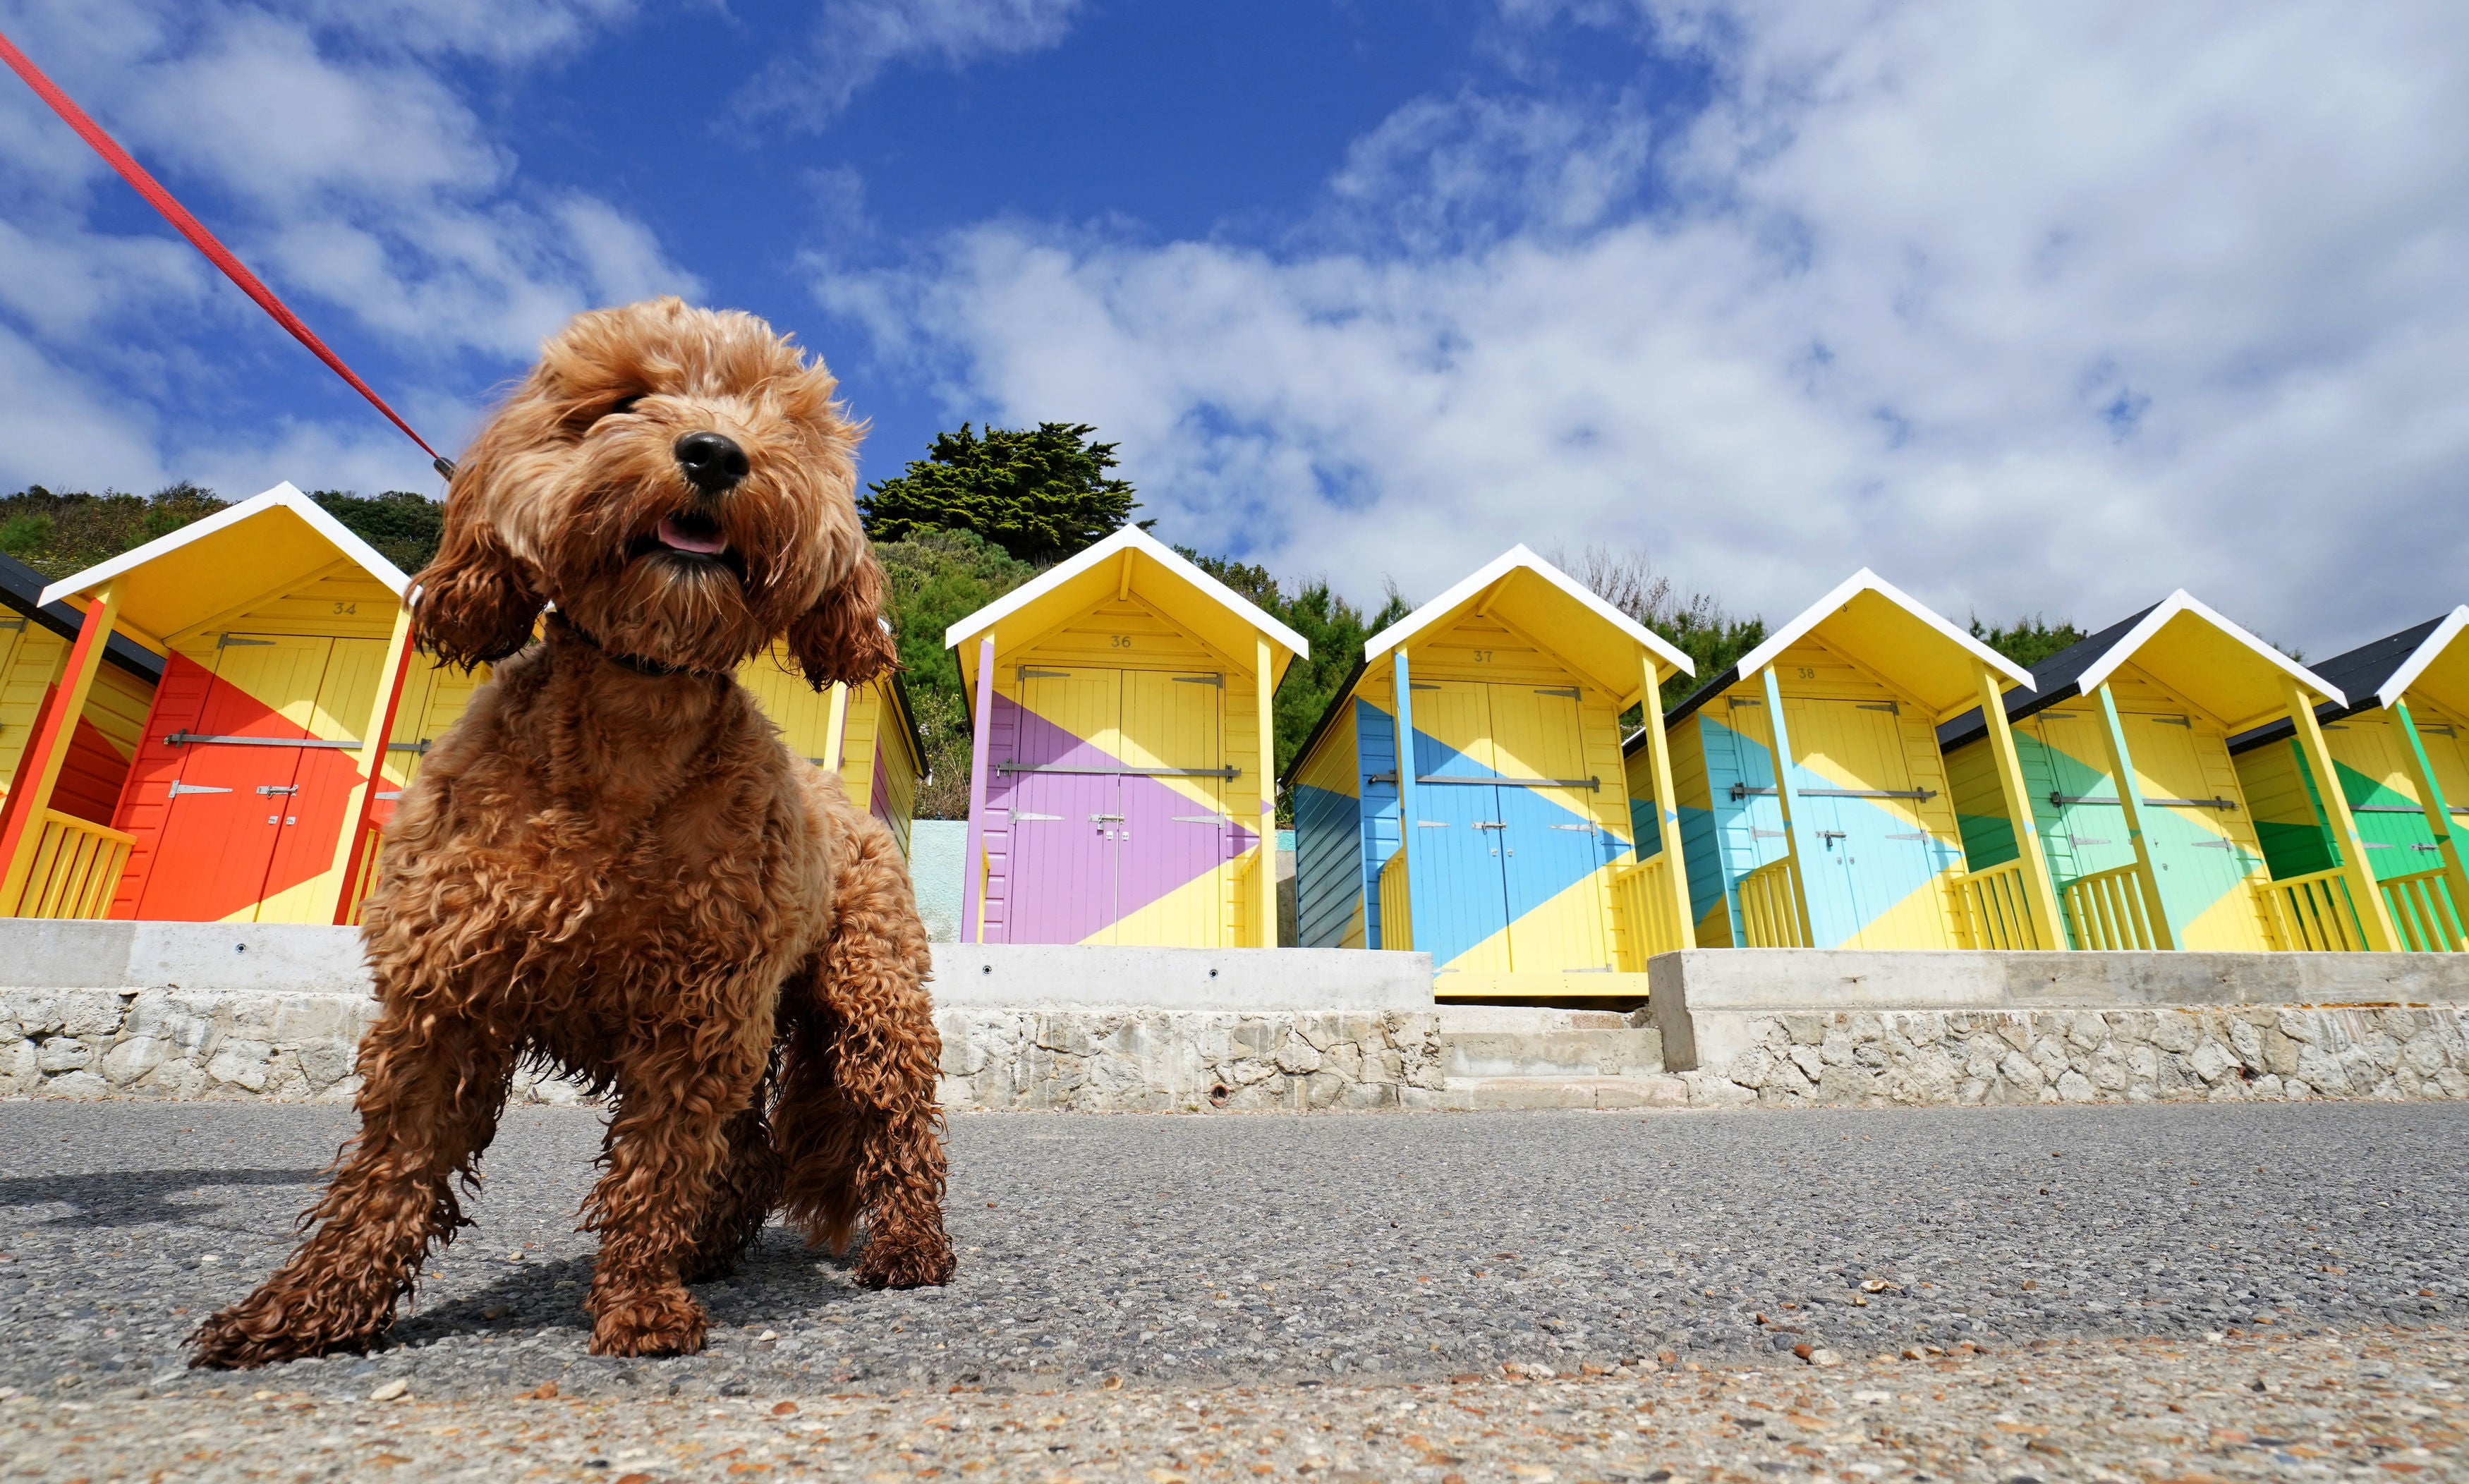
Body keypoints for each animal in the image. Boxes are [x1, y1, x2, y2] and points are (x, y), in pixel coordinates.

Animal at [183, 292, 948, 1363]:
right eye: (624, 400)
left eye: (780, 423)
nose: (715, 452)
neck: (634, 714)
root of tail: (848, 802)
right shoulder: (446, 996)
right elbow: (390, 1169)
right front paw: (308, 1305)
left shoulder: (697, 1012)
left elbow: (654, 1166)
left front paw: (637, 1301)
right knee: (749, 1147)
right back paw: (713, 1246)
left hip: (867, 996)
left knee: (897, 1126)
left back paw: (909, 1249)